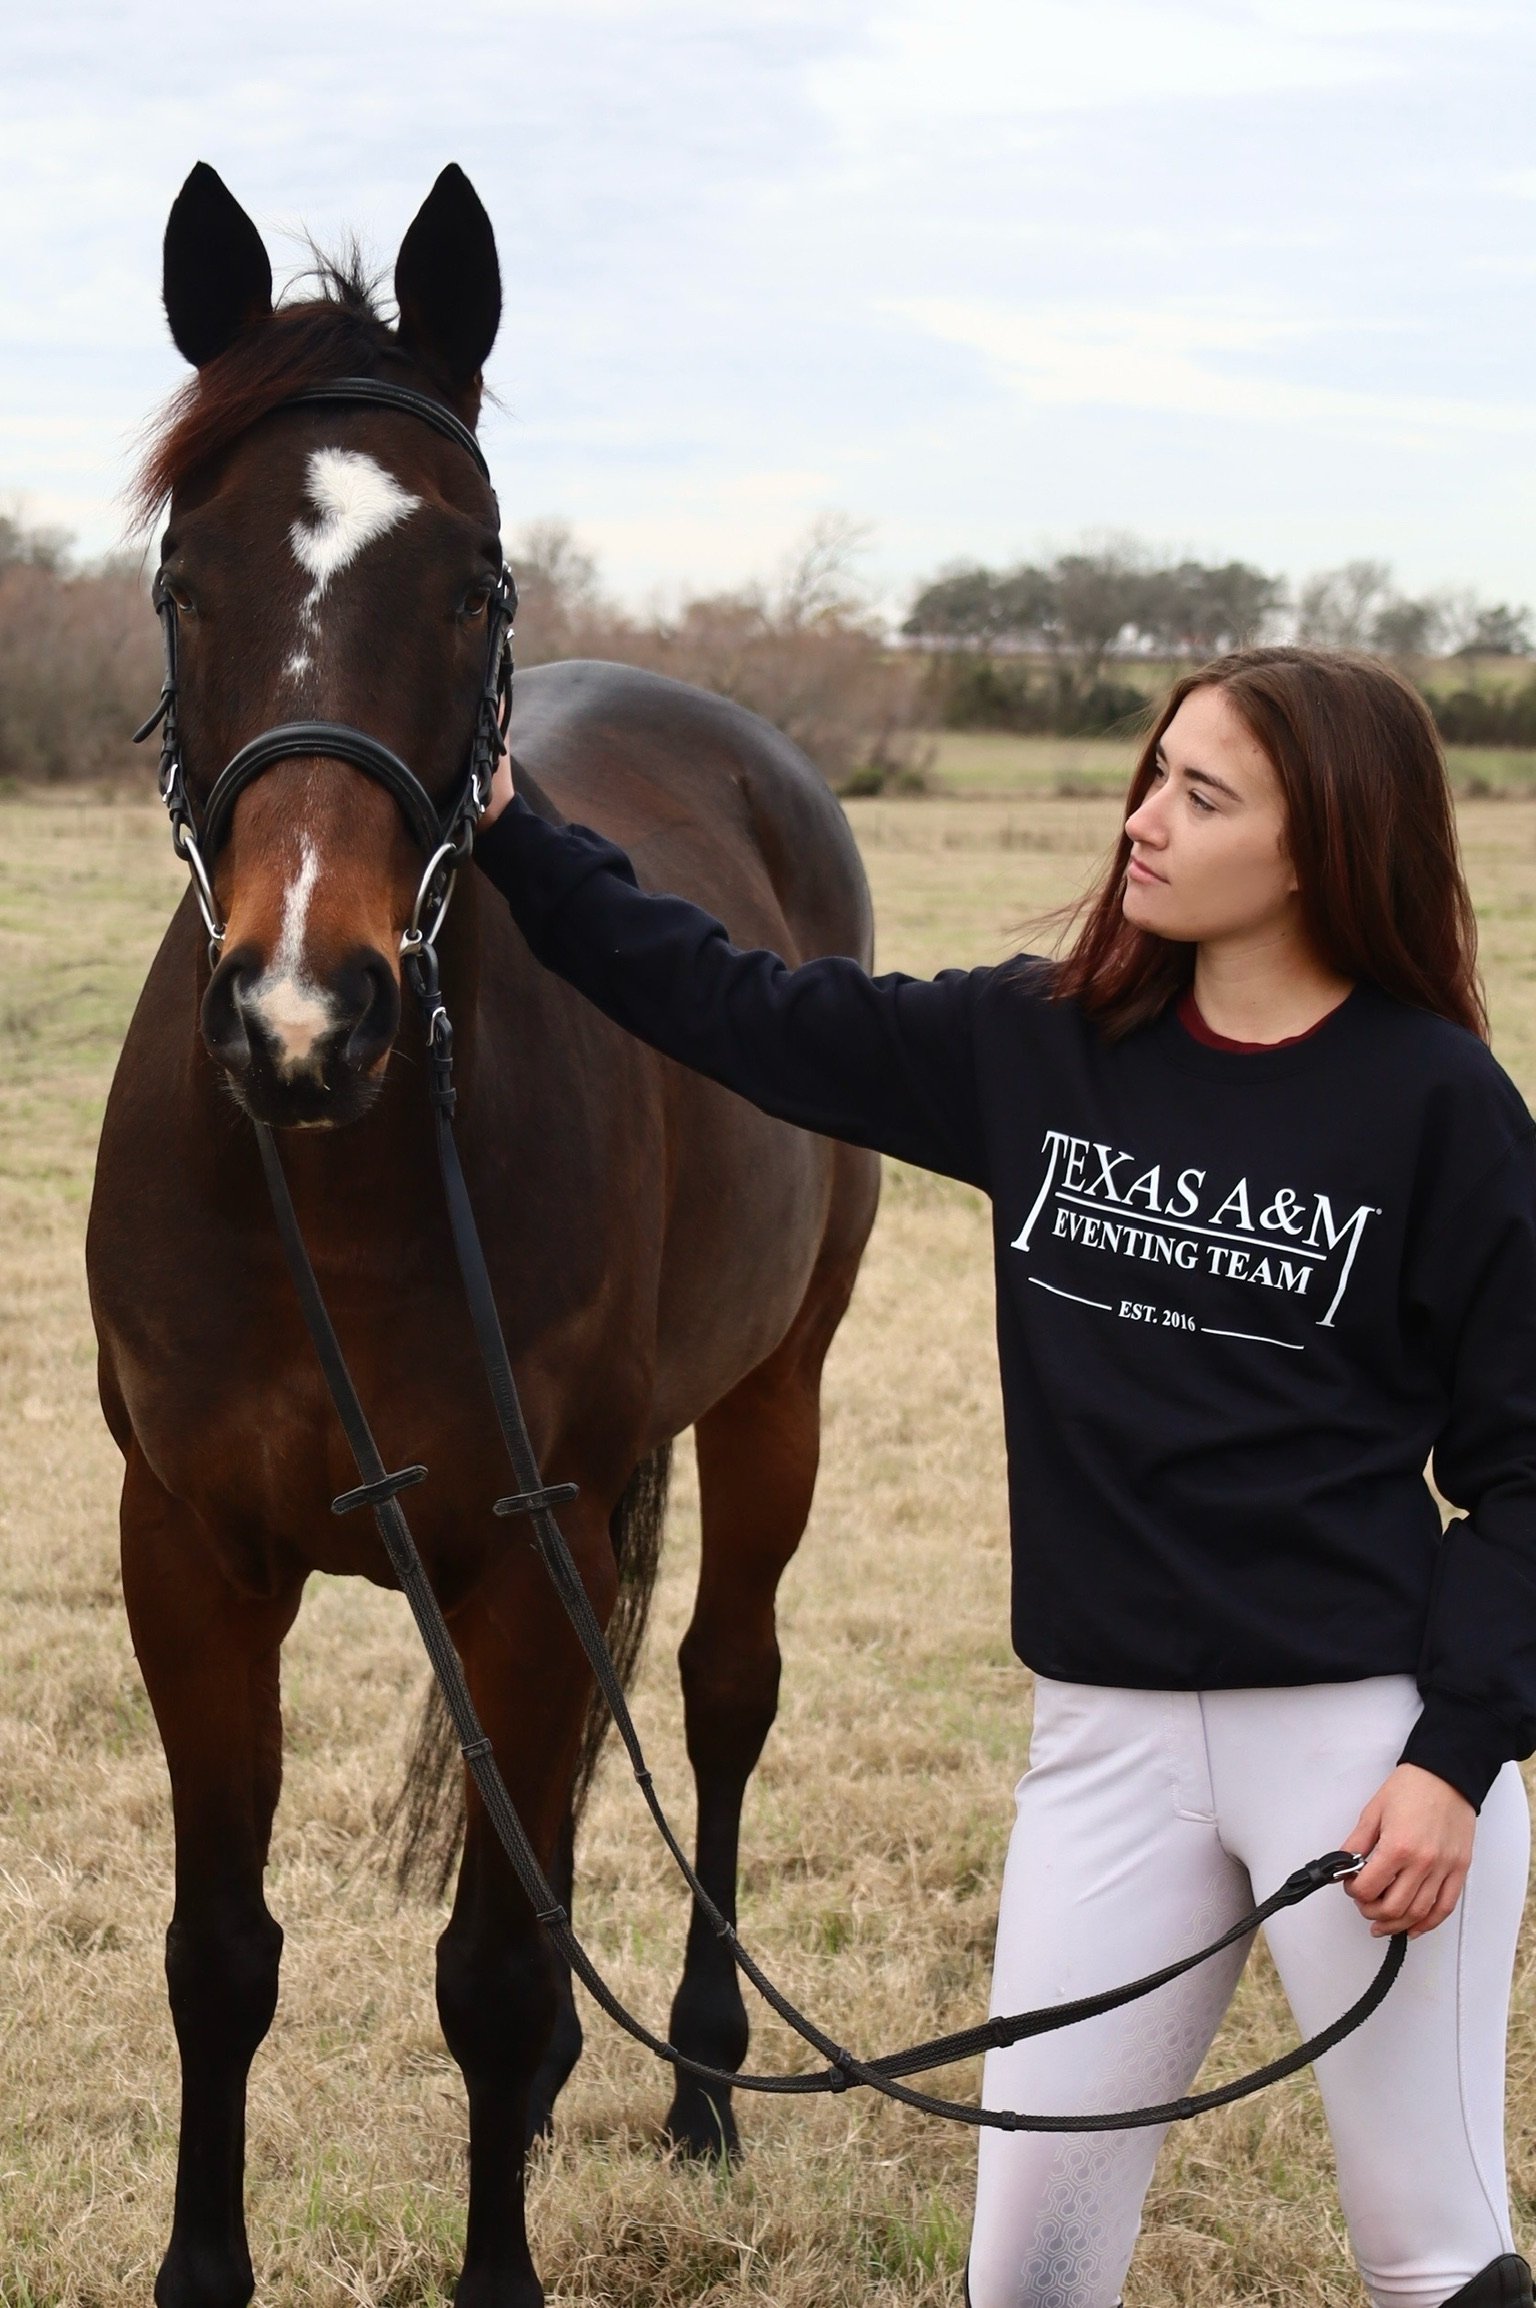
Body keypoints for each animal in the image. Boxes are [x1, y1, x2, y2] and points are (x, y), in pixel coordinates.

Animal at [86, 167, 871, 2308]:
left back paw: (696, 2078)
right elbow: (221, 1955)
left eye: (475, 584)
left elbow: (498, 1971)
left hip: (769, 1402)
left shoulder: (529, 1549)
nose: (303, 1013)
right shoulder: (191, 1552)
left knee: (717, 1695)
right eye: (188, 575)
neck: (338, 1174)